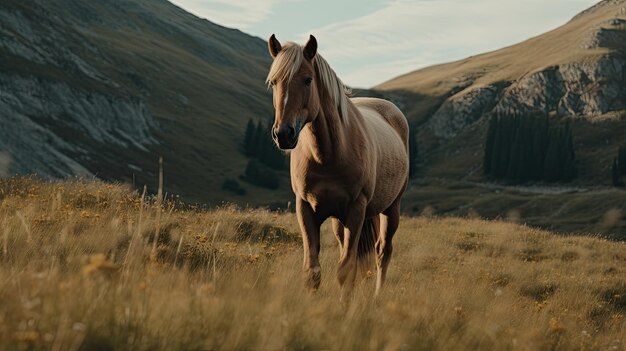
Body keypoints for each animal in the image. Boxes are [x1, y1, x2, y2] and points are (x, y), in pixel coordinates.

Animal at [266, 33, 410, 300]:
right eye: (274, 82)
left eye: (308, 80)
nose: (283, 134)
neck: (328, 155)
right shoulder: (306, 209)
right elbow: (312, 271)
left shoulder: (356, 209)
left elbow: (346, 270)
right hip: (339, 220)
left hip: (391, 208)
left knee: (383, 252)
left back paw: (377, 297)